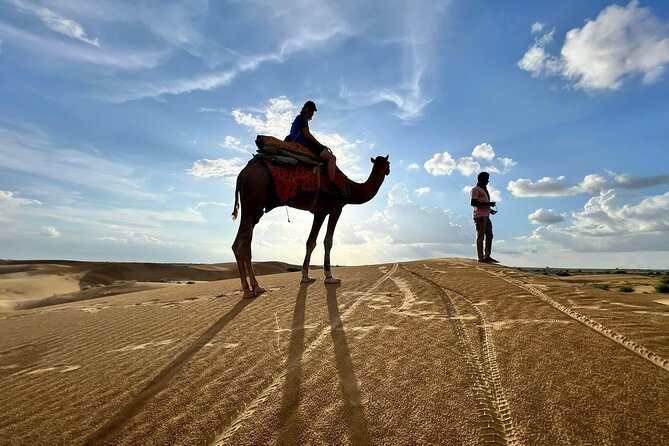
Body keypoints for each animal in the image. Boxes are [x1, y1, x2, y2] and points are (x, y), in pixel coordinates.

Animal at [231, 155, 388, 298]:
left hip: (255, 210)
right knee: (238, 245)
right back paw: (247, 291)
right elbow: (328, 241)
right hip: (253, 203)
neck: (350, 188)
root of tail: (242, 174)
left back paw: (257, 287)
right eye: (388, 163)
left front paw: (305, 277)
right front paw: (330, 277)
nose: (388, 170)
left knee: (247, 246)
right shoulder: (336, 207)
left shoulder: (320, 212)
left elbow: (311, 242)